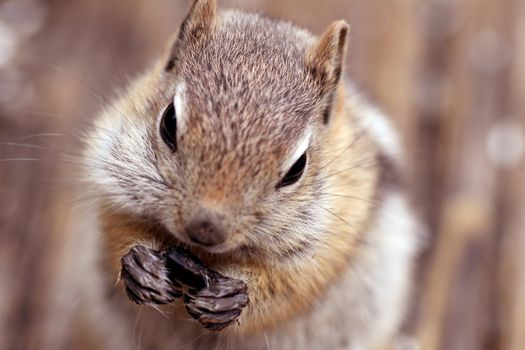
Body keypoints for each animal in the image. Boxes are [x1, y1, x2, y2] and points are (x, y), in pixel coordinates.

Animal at [70, 0, 422, 348]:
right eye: (169, 122)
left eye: (297, 167)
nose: (205, 228)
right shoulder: (112, 178)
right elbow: (117, 230)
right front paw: (140, 267)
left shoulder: (328, 243)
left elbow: (287, 288)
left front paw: (233, 295)